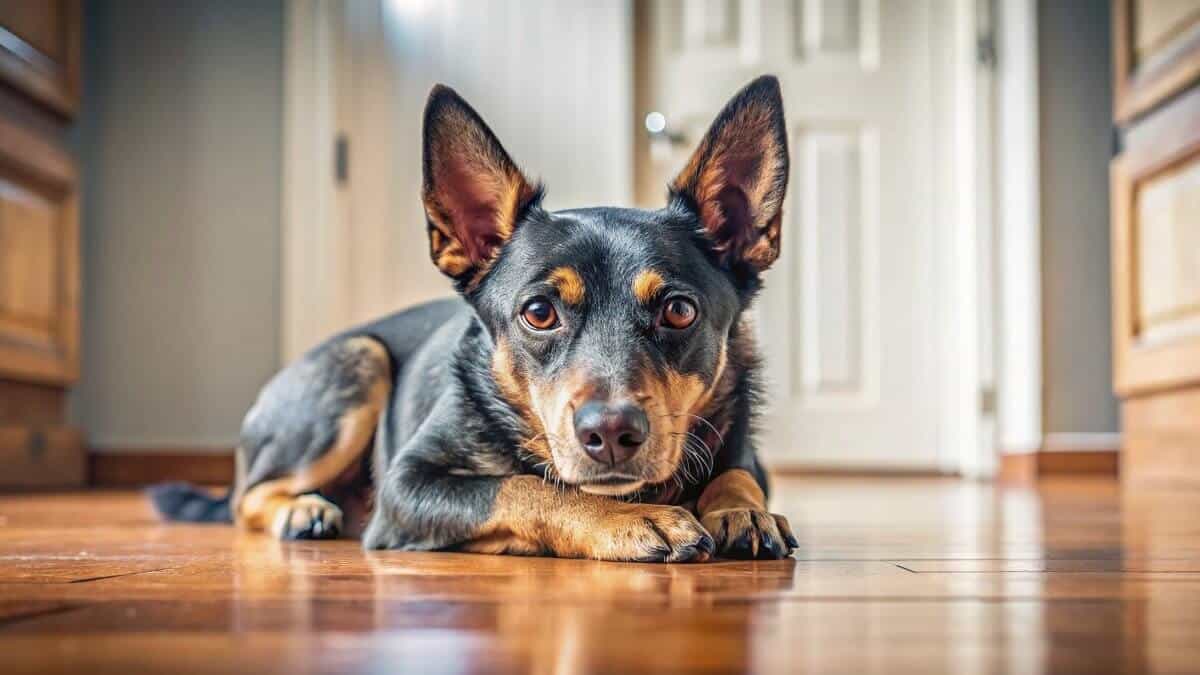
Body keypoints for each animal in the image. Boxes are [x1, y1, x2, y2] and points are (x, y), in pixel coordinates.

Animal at [157, 73, 796, 559]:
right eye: (538, 312)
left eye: (679, 311)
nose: (611, 433)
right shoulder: (406, 487)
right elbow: (526, 487)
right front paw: (627, 521)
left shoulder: (745, 450)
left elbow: (738, 471)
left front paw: (742, 509)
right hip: (358, 360)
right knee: (245, 496)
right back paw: (303, 509)